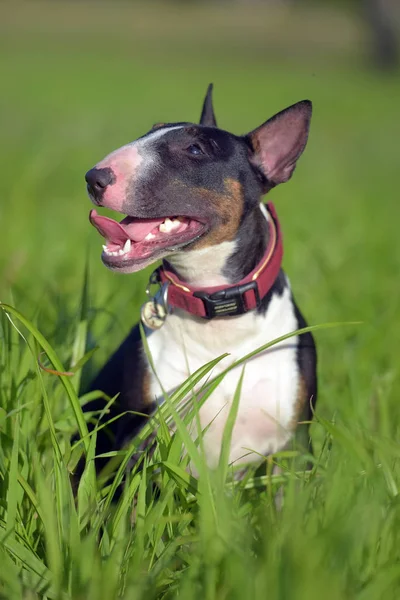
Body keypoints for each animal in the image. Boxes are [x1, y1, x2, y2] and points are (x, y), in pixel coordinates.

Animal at [83, 85, 316, 478]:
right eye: (149, 131)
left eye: (195, 150)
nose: (94, 177)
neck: (218, 315)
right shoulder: (137, 437)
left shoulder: (293, 450)